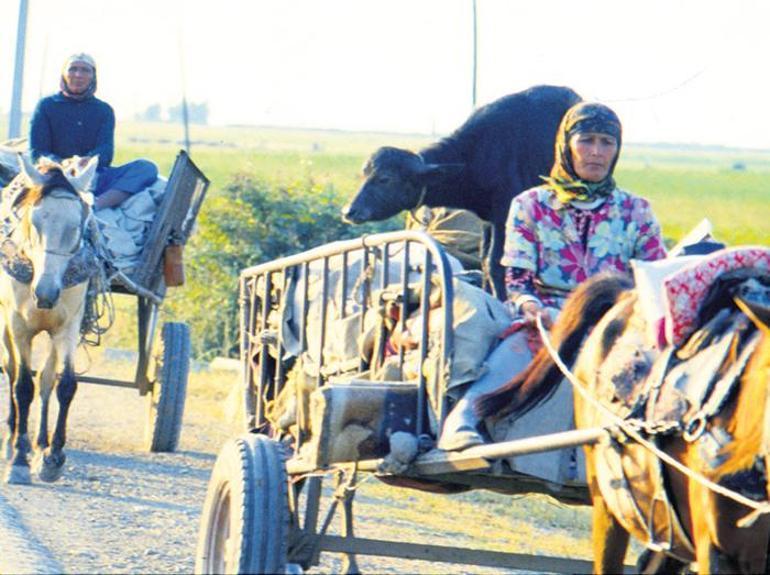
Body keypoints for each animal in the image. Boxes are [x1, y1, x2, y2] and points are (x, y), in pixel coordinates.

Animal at [2, 154, 100, 486]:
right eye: (35, 221)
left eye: (78, 225)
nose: (45, 293)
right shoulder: (18, 326)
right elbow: (22, 386)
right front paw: (19, 460)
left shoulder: (68, 327)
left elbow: (65, 384)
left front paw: (52, 456)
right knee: (11, 371)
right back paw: (11, 441)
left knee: (46, 379)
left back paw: (40, 443)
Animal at [340, 85, 580, 302]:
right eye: (365, 174)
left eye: (385, 179)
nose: (349, 211)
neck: (476, 156)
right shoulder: (488, 220)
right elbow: (484, 260)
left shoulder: (504, 215)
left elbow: (496, 263)